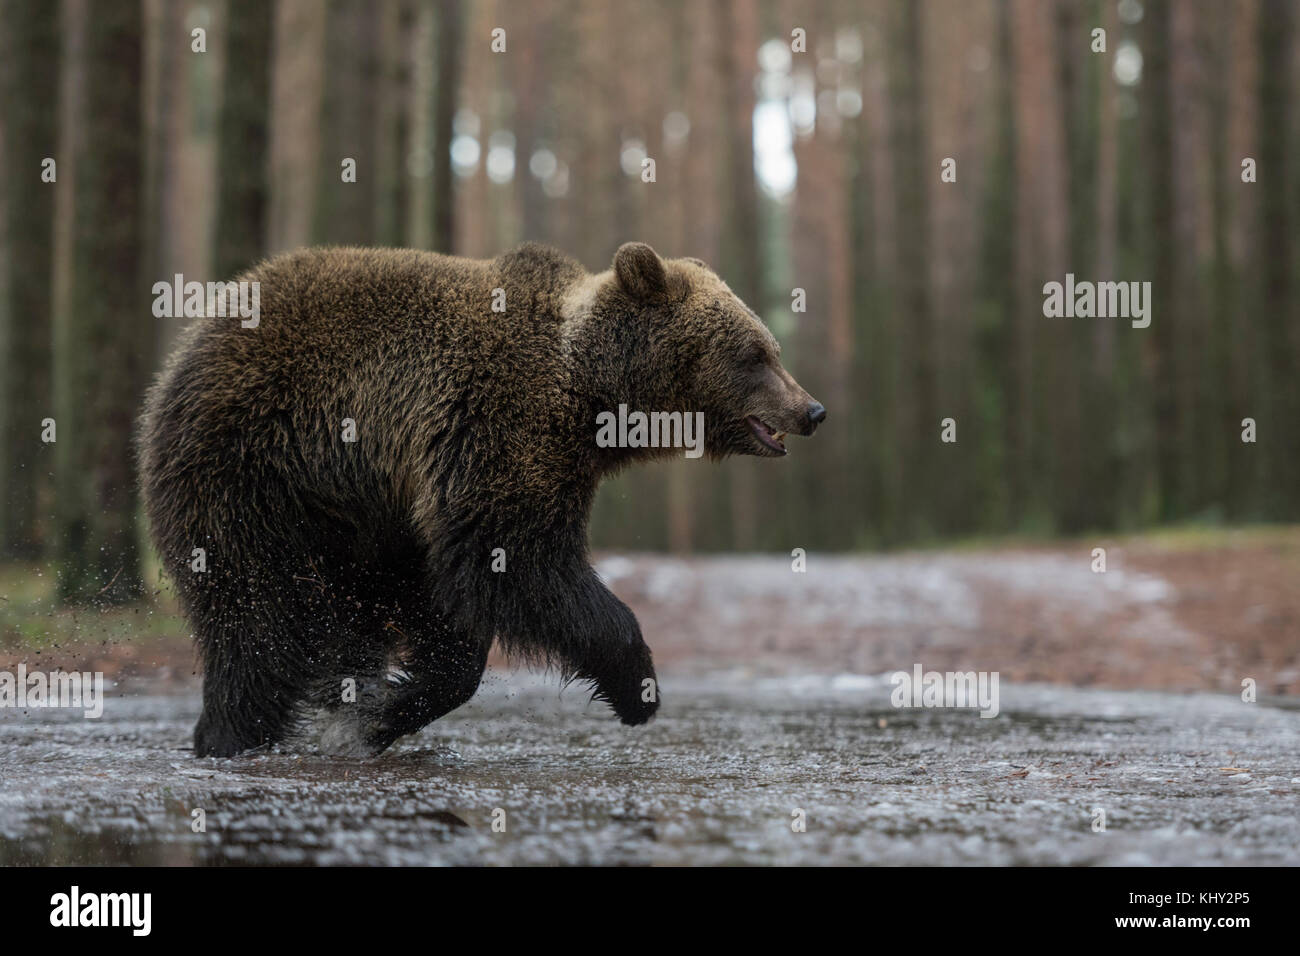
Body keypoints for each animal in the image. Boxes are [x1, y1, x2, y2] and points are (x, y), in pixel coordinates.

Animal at [139, 243, 821, 759]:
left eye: (772, 350)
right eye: (754, 354)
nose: (811, 409)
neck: (591, 401)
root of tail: (184, 351)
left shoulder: (437, 497)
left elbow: (460, 605)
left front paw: (386, 710)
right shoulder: (500, 428)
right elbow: (519, 560)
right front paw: (637, 687)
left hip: (355, 520)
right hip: (258, 474)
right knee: (258, 623)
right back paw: (229, 735)